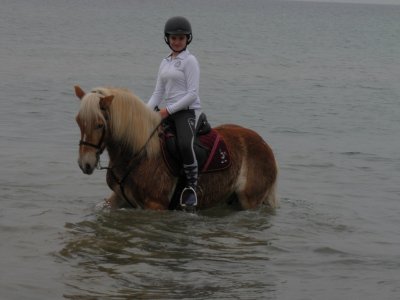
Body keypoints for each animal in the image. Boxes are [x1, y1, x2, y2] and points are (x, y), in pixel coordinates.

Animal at [73, 85, 276, 210]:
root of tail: (265, 145)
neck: (139, 153)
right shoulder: (118, 198)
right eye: (78, 121)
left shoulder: (155, 206)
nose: (85, 164)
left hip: (249, 200)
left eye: (99, 124)